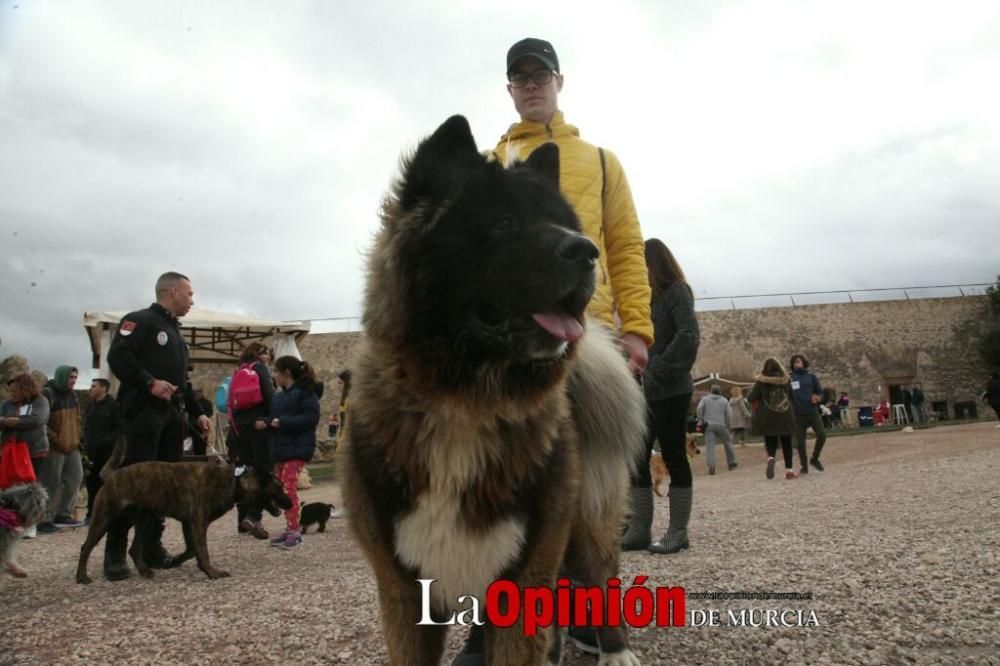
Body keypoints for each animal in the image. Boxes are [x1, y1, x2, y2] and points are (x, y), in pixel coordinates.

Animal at [77, 462, 290, 580]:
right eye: (279, 487)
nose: (291, 503)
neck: (234, 481)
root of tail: (112, 475)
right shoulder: (198, 523)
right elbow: (201, 551)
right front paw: (212, 572)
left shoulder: (189, 524)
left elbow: (191, 551)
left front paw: (175, 561)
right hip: (104, 519)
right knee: (86, 547)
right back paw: (81, 576)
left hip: (146, 521)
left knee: (134, 548)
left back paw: (145, 571)